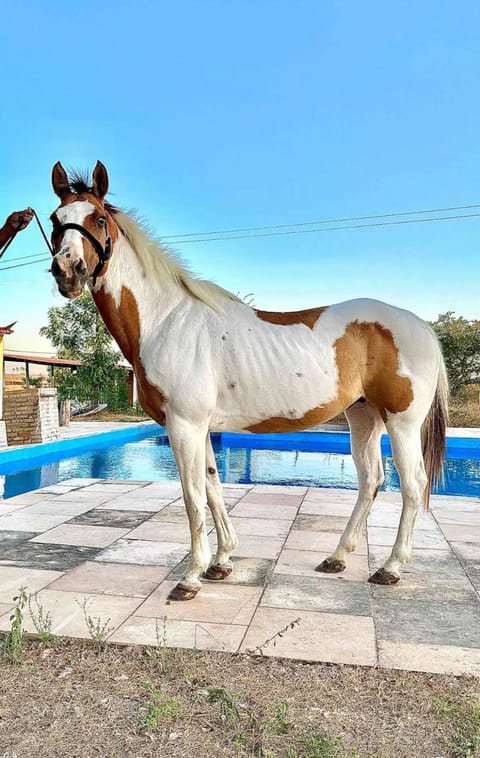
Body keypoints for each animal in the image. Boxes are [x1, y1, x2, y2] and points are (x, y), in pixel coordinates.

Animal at [47, 163, 448, 604]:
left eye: (99, 219)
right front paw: (221, 562)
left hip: (402, 422)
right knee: (371, 481)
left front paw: (191, 576)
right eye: (55, 220)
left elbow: (192, 497)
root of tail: (419, 325)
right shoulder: (199, 428)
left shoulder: (184, 426)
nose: (67, 270)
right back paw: (337, 557)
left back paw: (391, 567)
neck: (166, 319)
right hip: (364, 417)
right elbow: (212, 486)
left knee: (412, 486)